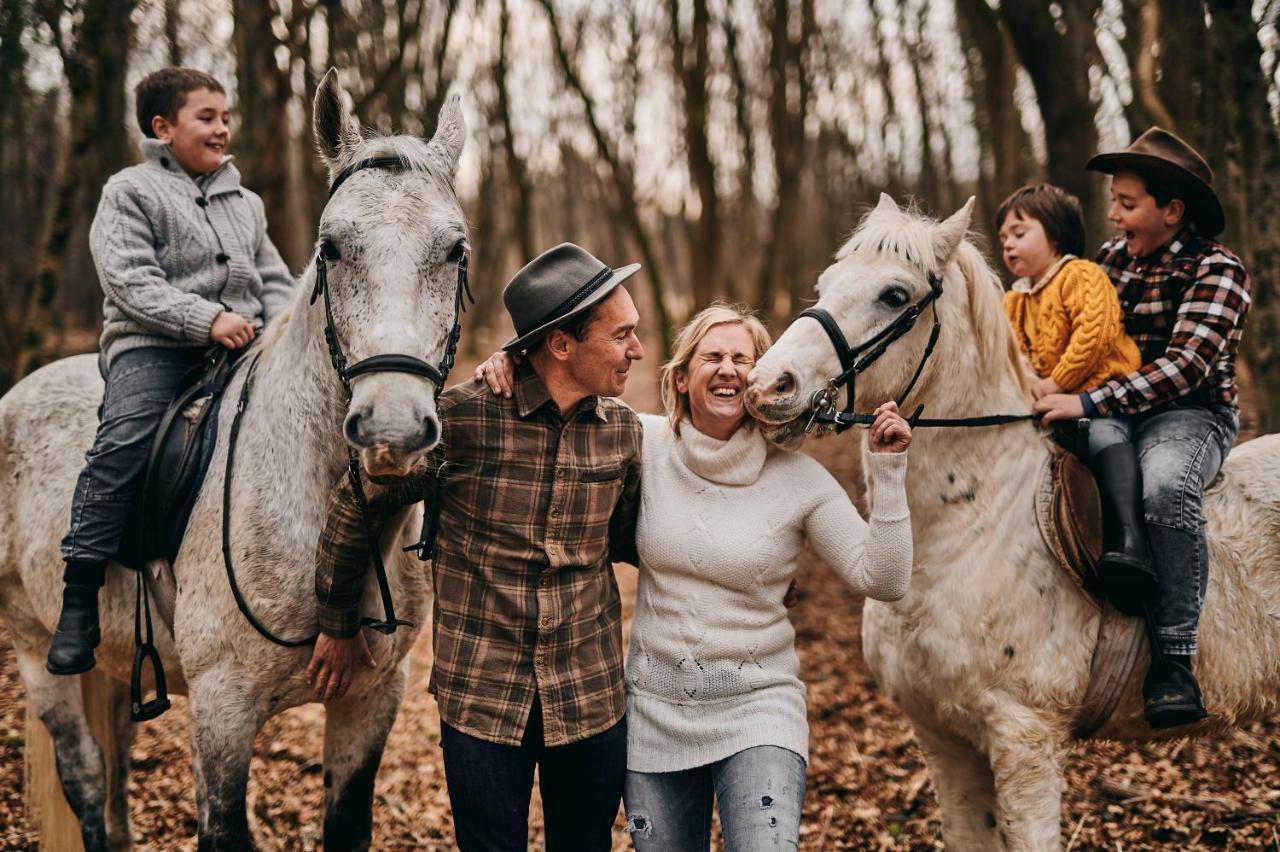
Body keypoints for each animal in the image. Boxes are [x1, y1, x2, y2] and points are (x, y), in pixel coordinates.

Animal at [0, 69, 471, 844]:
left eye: (456, 249)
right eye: (331, 248)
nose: (391, 426)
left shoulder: (372, 699)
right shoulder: (222, 710)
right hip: (38, 650)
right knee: (86, 776)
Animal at [747, 194, 1280, 849]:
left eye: (894, 296)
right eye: (826, 284)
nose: (766, 386)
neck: (967, 530)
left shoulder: (1024, 739)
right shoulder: (943, 739)